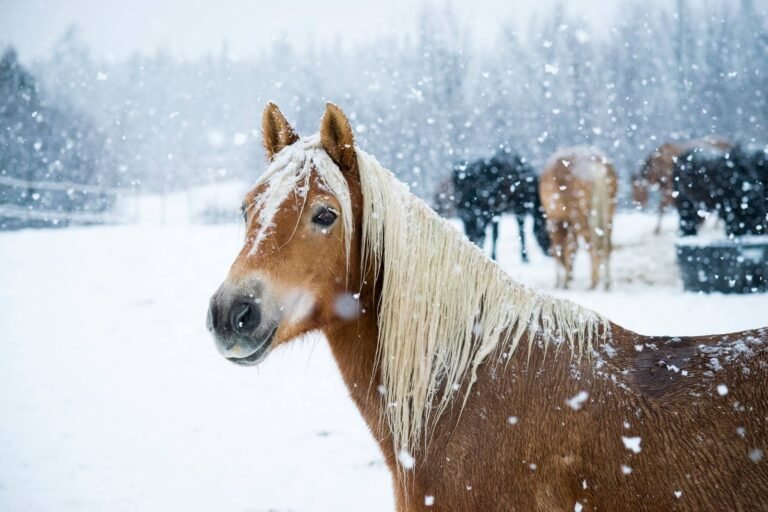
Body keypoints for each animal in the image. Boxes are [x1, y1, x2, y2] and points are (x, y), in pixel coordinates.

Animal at [540, 149, 616, 292]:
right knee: (606, 245)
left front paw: (560, 282)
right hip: (609, 211)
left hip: (582, 214)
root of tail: (597, 167)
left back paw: (593, 283)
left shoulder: (555, 218)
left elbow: (561, 247)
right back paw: (606, 283)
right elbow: (572, 247)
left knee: (592, 245)